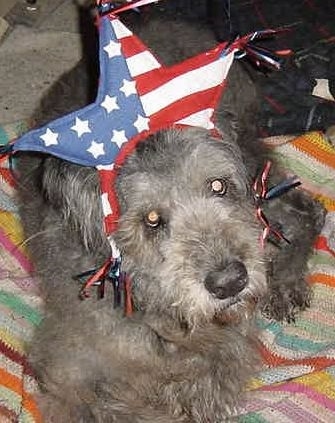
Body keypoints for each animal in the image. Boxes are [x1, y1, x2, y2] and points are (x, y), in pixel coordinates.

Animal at [17, 9, 326, 423]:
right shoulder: (66, 369)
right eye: (152, 219)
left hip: (253, 167)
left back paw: (286, 283)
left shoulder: (224, 352)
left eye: (218, 186)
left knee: (307, 211)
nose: (230, 282)